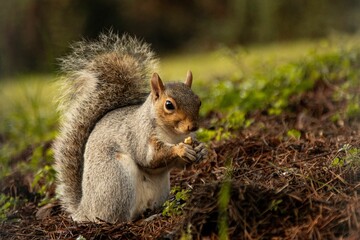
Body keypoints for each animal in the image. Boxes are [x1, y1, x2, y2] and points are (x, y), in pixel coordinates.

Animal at [52, 32, 207, 224]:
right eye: (169, 105)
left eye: (198, 101)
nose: (193, 126)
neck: (172, 134)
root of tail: (85, 210)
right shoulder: (140, 135)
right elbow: (149, 157)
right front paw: (180, 149)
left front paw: (201, 150)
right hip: (117, 179)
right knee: (120, 218)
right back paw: (145, 218)